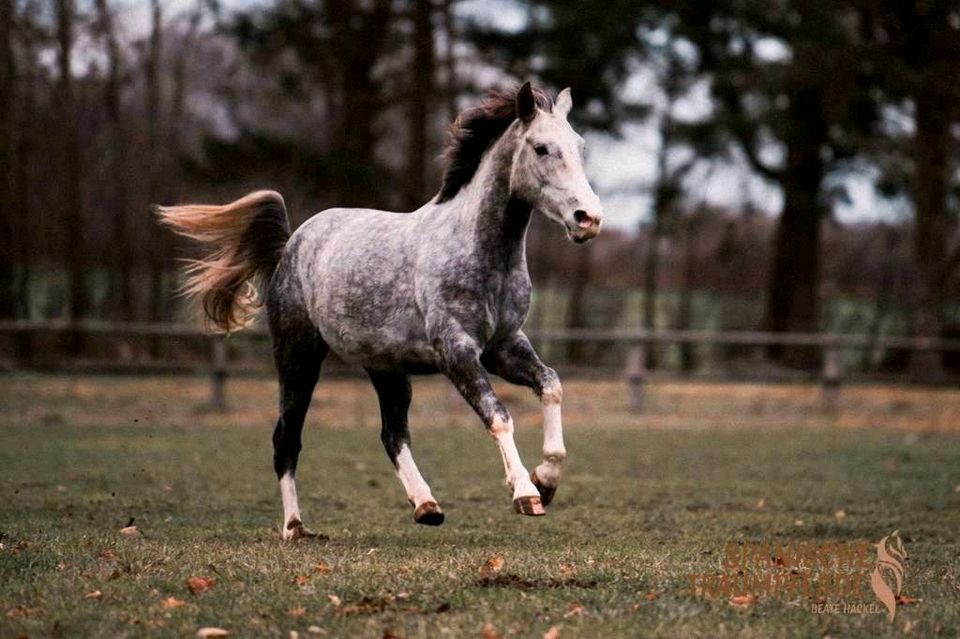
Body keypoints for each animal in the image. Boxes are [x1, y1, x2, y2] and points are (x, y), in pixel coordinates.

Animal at [161, 81, 604, 540]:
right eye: (541, 148)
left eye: (580, 146)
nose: (588, 219)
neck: (482, 252)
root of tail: (290, 245)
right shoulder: (457, 351)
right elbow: (497, 415)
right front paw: (525, 494)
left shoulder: (504, 346)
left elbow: (551, 385)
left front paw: (546, 479)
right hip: (298, 357)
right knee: (287, 438)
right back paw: (295, 527)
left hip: (386, 368)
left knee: (392, 433)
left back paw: (426, 505)